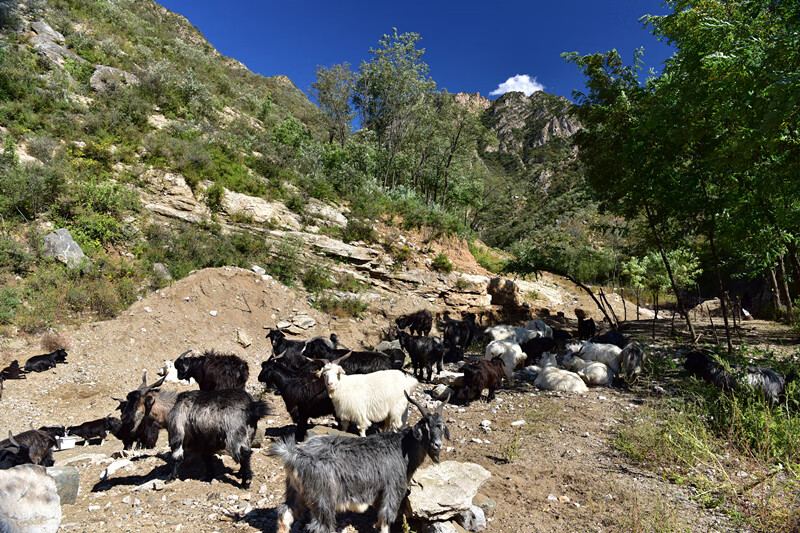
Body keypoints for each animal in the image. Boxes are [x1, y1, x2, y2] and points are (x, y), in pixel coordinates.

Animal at [270, 390, 450, 532]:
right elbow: (386, 518)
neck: (403, 447)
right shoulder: (392, 488)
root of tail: (294, 454)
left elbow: (380, 517)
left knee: (285, 514)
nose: (437, 445)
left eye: (441, 426)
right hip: (323, 497)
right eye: (425, 427)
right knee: (320, 526)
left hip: (295, 491)